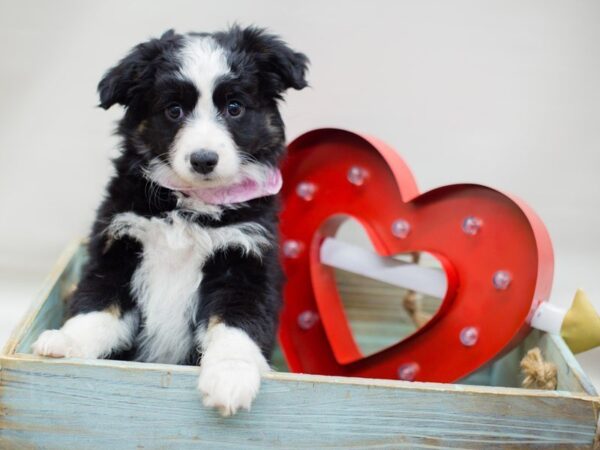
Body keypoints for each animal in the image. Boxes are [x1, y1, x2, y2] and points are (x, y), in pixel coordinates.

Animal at [32, 26, 308, 416]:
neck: (189, 207)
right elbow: (97, 305)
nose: (204, 159)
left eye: (234, 107)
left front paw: (231, 376)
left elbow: (236, 324)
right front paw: (67, 341)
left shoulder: (246, 261)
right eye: (174, 110)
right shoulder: (116, 250)